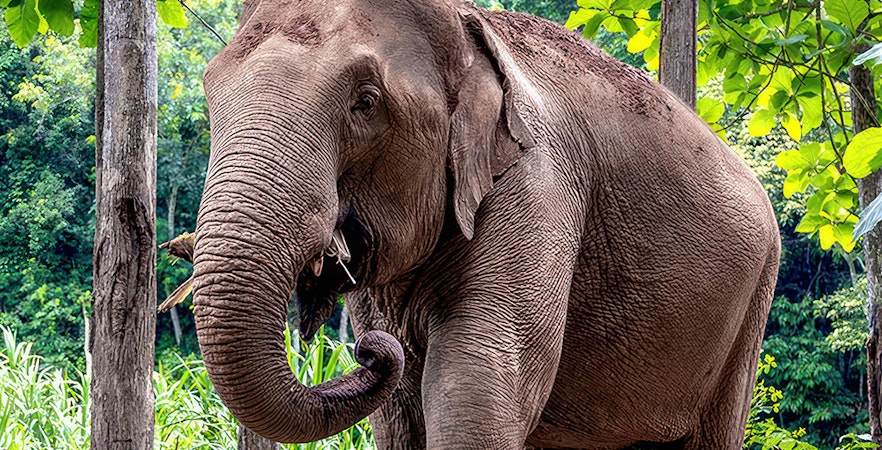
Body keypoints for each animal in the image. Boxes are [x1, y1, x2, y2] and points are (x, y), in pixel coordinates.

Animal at [191, 0, 781, 448]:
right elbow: (402, 412)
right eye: (210, 93)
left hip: (750, 310)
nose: (368, 351)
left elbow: (477, 384)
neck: (469, 28)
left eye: (366, 102)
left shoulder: (538, 186)